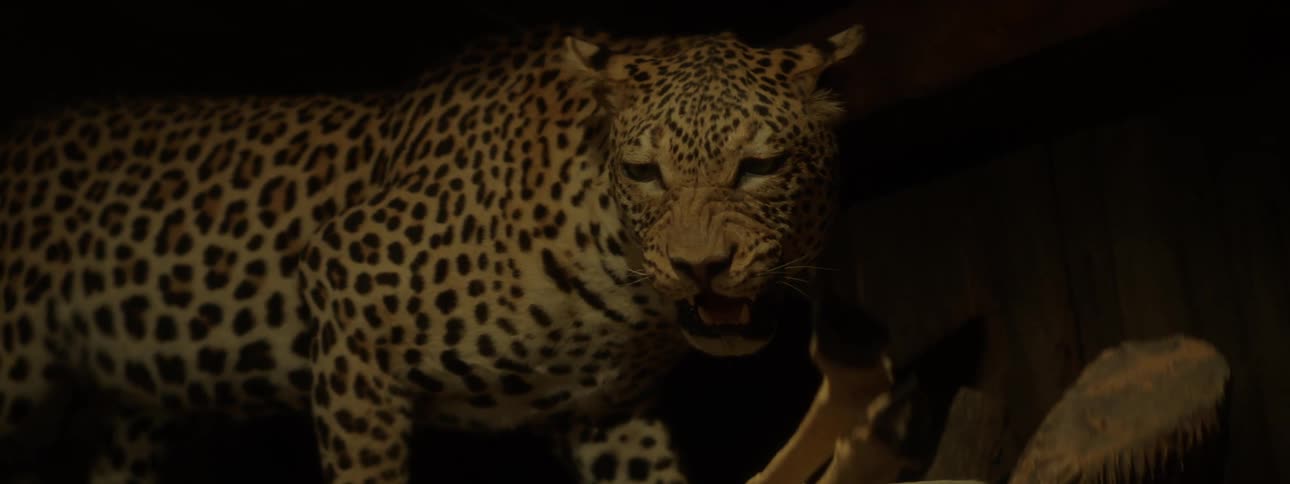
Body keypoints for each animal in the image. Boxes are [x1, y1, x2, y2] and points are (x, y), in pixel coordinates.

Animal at [0, 22, 864, 484]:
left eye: (759, 167)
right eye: (645, 172)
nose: (699, 267)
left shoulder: (607, 414)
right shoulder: (346, 300)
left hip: (143, 419)